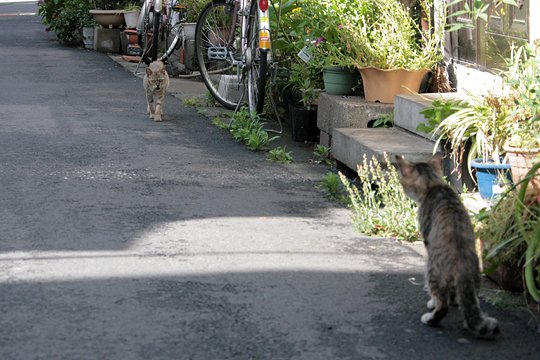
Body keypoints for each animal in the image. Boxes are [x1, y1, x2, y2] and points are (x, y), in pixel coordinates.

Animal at [394, 153, 500, 338]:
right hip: (475, 279)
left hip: (433, 271)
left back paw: (430, 317)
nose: (402, 189)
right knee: (468, 302)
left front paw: (431, 303)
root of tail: (463, 263)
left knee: (442, 305)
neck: (434, 185)